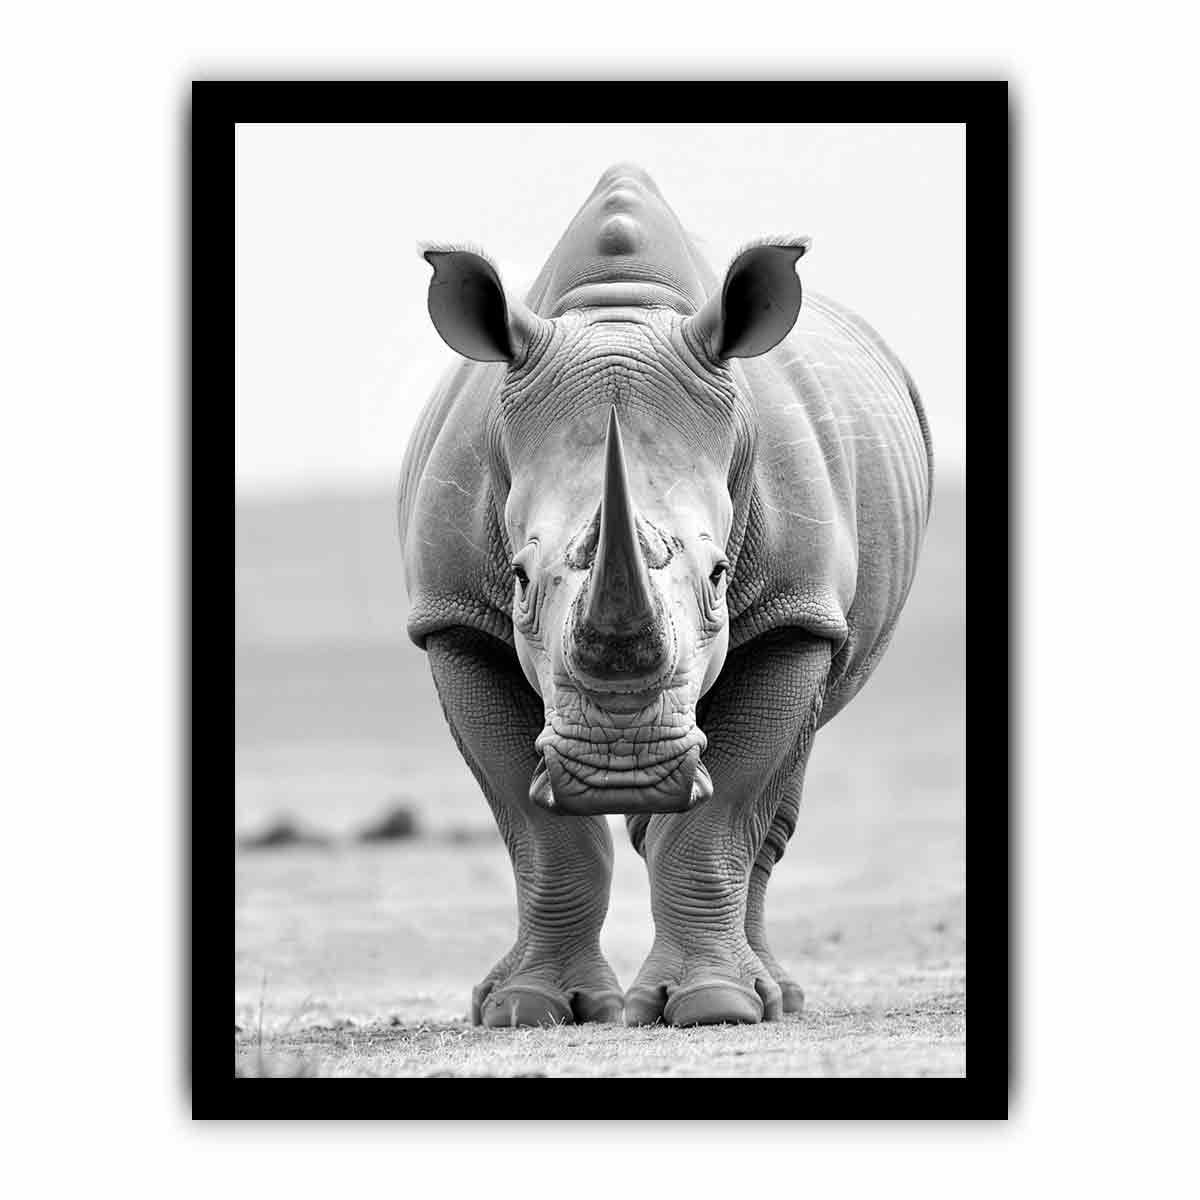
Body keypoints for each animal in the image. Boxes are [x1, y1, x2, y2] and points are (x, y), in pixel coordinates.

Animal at [398, 164, 932, 1028]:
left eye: (718, 577)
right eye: (518, 579)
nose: (622, 768)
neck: (619, 314)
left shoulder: (794, 612)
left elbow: (722, 813)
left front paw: (716, 1006)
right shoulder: (454, 620)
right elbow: (538, 827)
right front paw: (525, 1009)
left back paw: (776, 997)